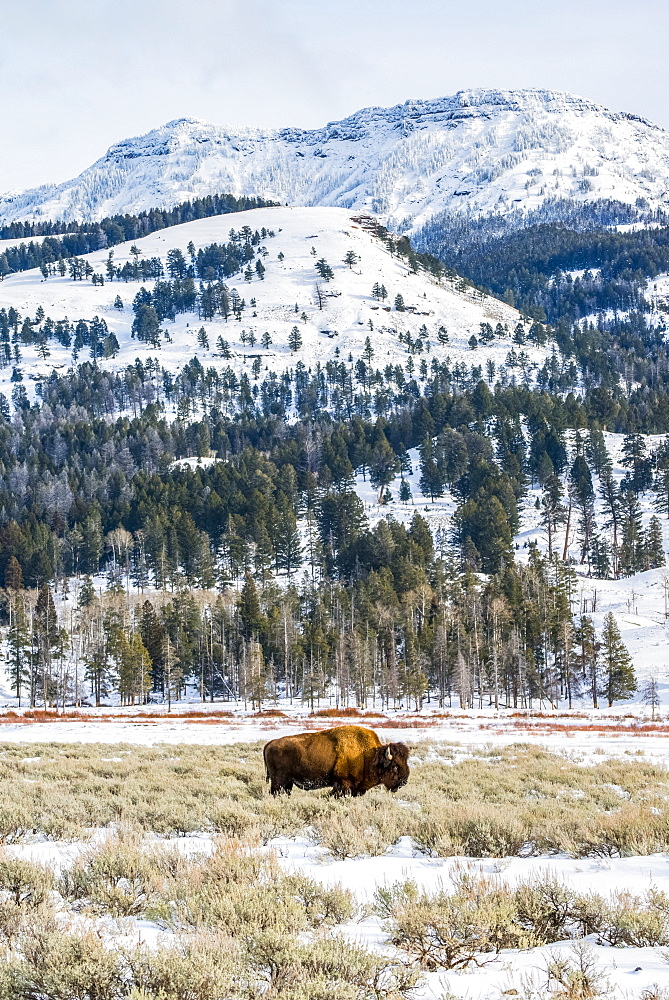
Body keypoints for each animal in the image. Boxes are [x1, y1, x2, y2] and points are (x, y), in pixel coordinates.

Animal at [264, 728, 410, 796]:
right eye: (395, 766)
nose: (404, 782)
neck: (368, 755)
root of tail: (270, 743)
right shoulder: (342, 785)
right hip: (279, 781)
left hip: (288, 783)